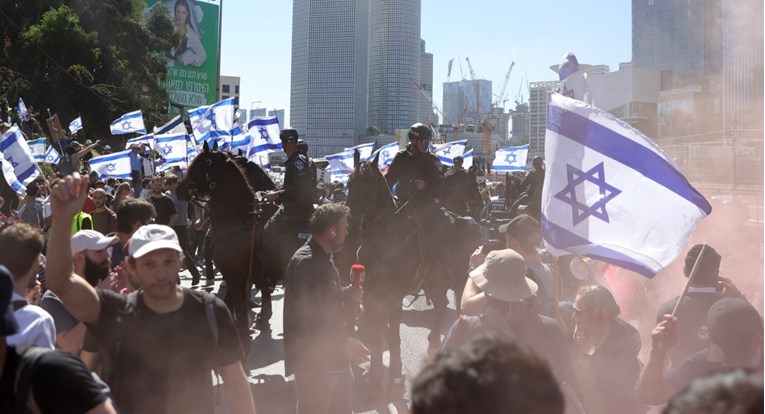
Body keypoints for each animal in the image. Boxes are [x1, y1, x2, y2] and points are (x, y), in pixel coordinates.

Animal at [178, 142, 274, 346]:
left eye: (198, 166)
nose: (178, 189)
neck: (239, 221)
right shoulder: (235, 276)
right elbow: (231, 305)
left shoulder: (236, 276)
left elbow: (239, 308)